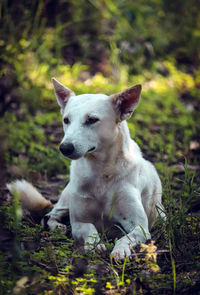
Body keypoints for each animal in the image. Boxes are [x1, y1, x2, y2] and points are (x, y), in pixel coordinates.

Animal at [7, 79, 164, 262]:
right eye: (66, 120)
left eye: (92, 120)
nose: (64, 148)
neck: (101, 171)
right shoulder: (79, 223)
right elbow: (89, 228)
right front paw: (94, 245)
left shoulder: (140, 226)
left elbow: (126, 237)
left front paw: (120, 250)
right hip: (67, 198)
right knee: (49, 215)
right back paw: (57, 226)